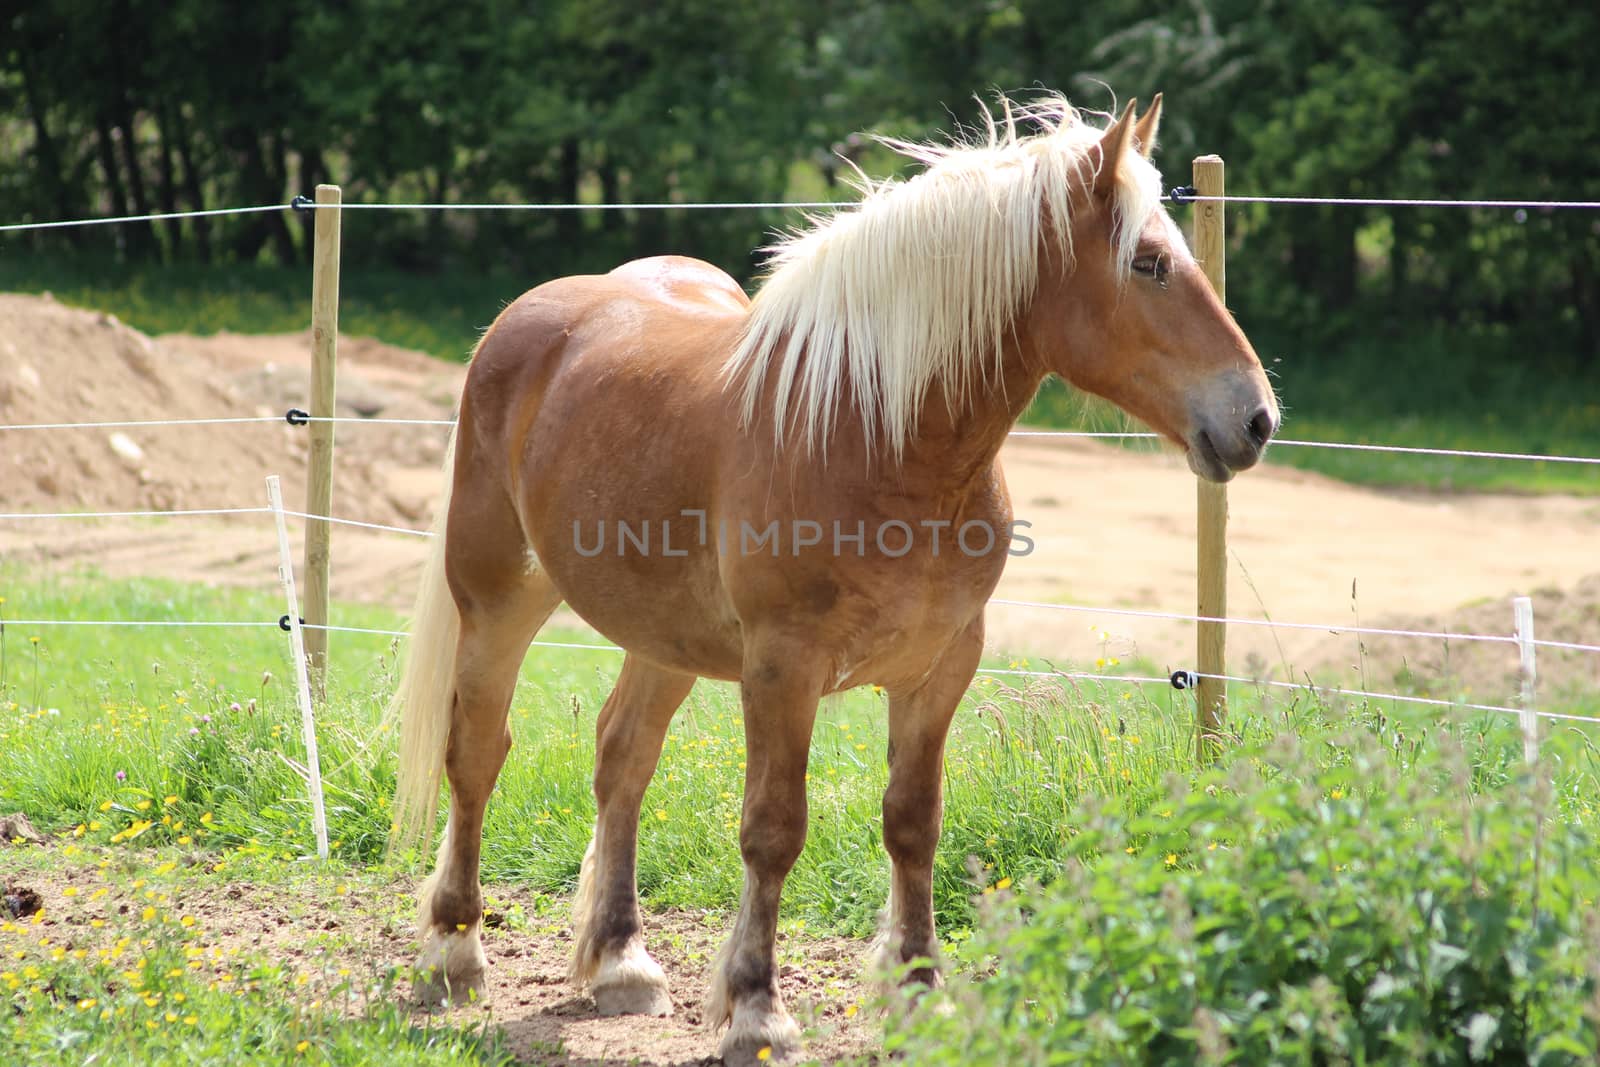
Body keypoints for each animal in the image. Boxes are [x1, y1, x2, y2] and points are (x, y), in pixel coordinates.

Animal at [384, 93, 1273, 1067]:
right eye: (1148, 263)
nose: (1256, 418)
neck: (876, 435)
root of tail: (527, 318)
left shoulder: (942, 665)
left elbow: (914, 821)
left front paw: (919, 988)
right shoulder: (783, 668)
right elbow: (772, 831)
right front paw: (756, 1010)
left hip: (665, 636)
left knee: (622, 758)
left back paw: (621, 961)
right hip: (498, 598)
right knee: (476, 754)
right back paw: (454, 953)